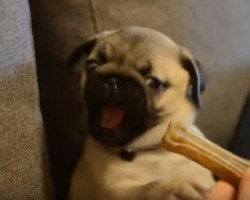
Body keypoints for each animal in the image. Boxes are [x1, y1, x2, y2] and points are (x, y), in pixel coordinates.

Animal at [68, 27, 215, 200]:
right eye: (92, 66)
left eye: (153, 82)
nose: (113, 80)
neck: (149, 151)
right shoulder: (110, 190)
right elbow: (146, 189)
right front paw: (175, 187)